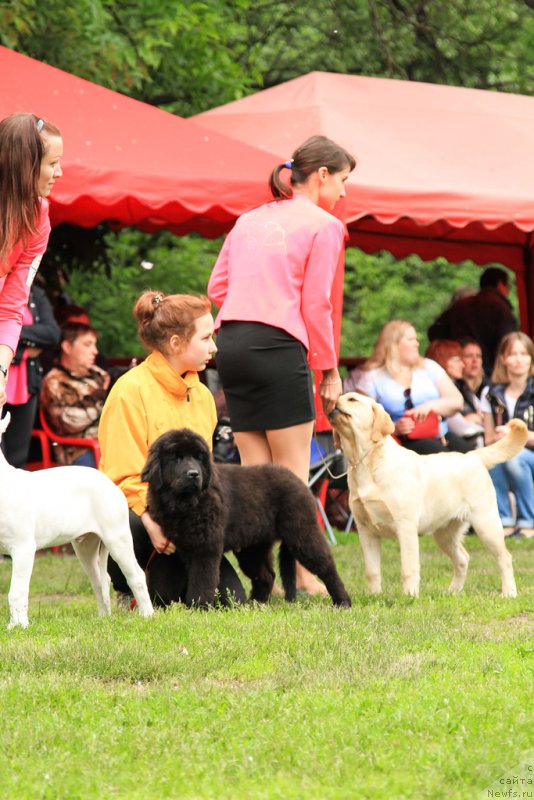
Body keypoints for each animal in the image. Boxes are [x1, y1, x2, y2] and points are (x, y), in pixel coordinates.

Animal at [0, 416, 154, 628]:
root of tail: (109, 481)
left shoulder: (24, 548)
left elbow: (17, 592)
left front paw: (20, 627)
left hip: (117, 538)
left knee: (136, 576)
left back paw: (147, 615)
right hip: (86, 546)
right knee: (99, 580)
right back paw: (103, 618)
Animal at [140, 432, 354, 608]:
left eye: (199, 458)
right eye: (175, 459)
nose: (194, 474)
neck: (186, 503)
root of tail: (299, 481)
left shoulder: (206, 549)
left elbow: (202, 581)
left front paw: (198, 607)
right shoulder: (186, 547)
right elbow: (193, 578)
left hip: (302, 534)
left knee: (327, 567)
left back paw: (343, 601)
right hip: (252, 547)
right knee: (266, 575)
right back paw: (255, 604)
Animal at [330, 390, 528, 596]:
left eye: (352, 399)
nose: (332, 403)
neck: (365, 461)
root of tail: (472, 455)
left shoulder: (405, 526)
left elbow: (408, 567)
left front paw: (409, 596)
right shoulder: (365, 530)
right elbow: (372, 570)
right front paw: (374, 596)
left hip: (486, 524)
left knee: (504, 557)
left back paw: (509, 592)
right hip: (445, 533)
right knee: (463, 558)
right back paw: (452, 591)